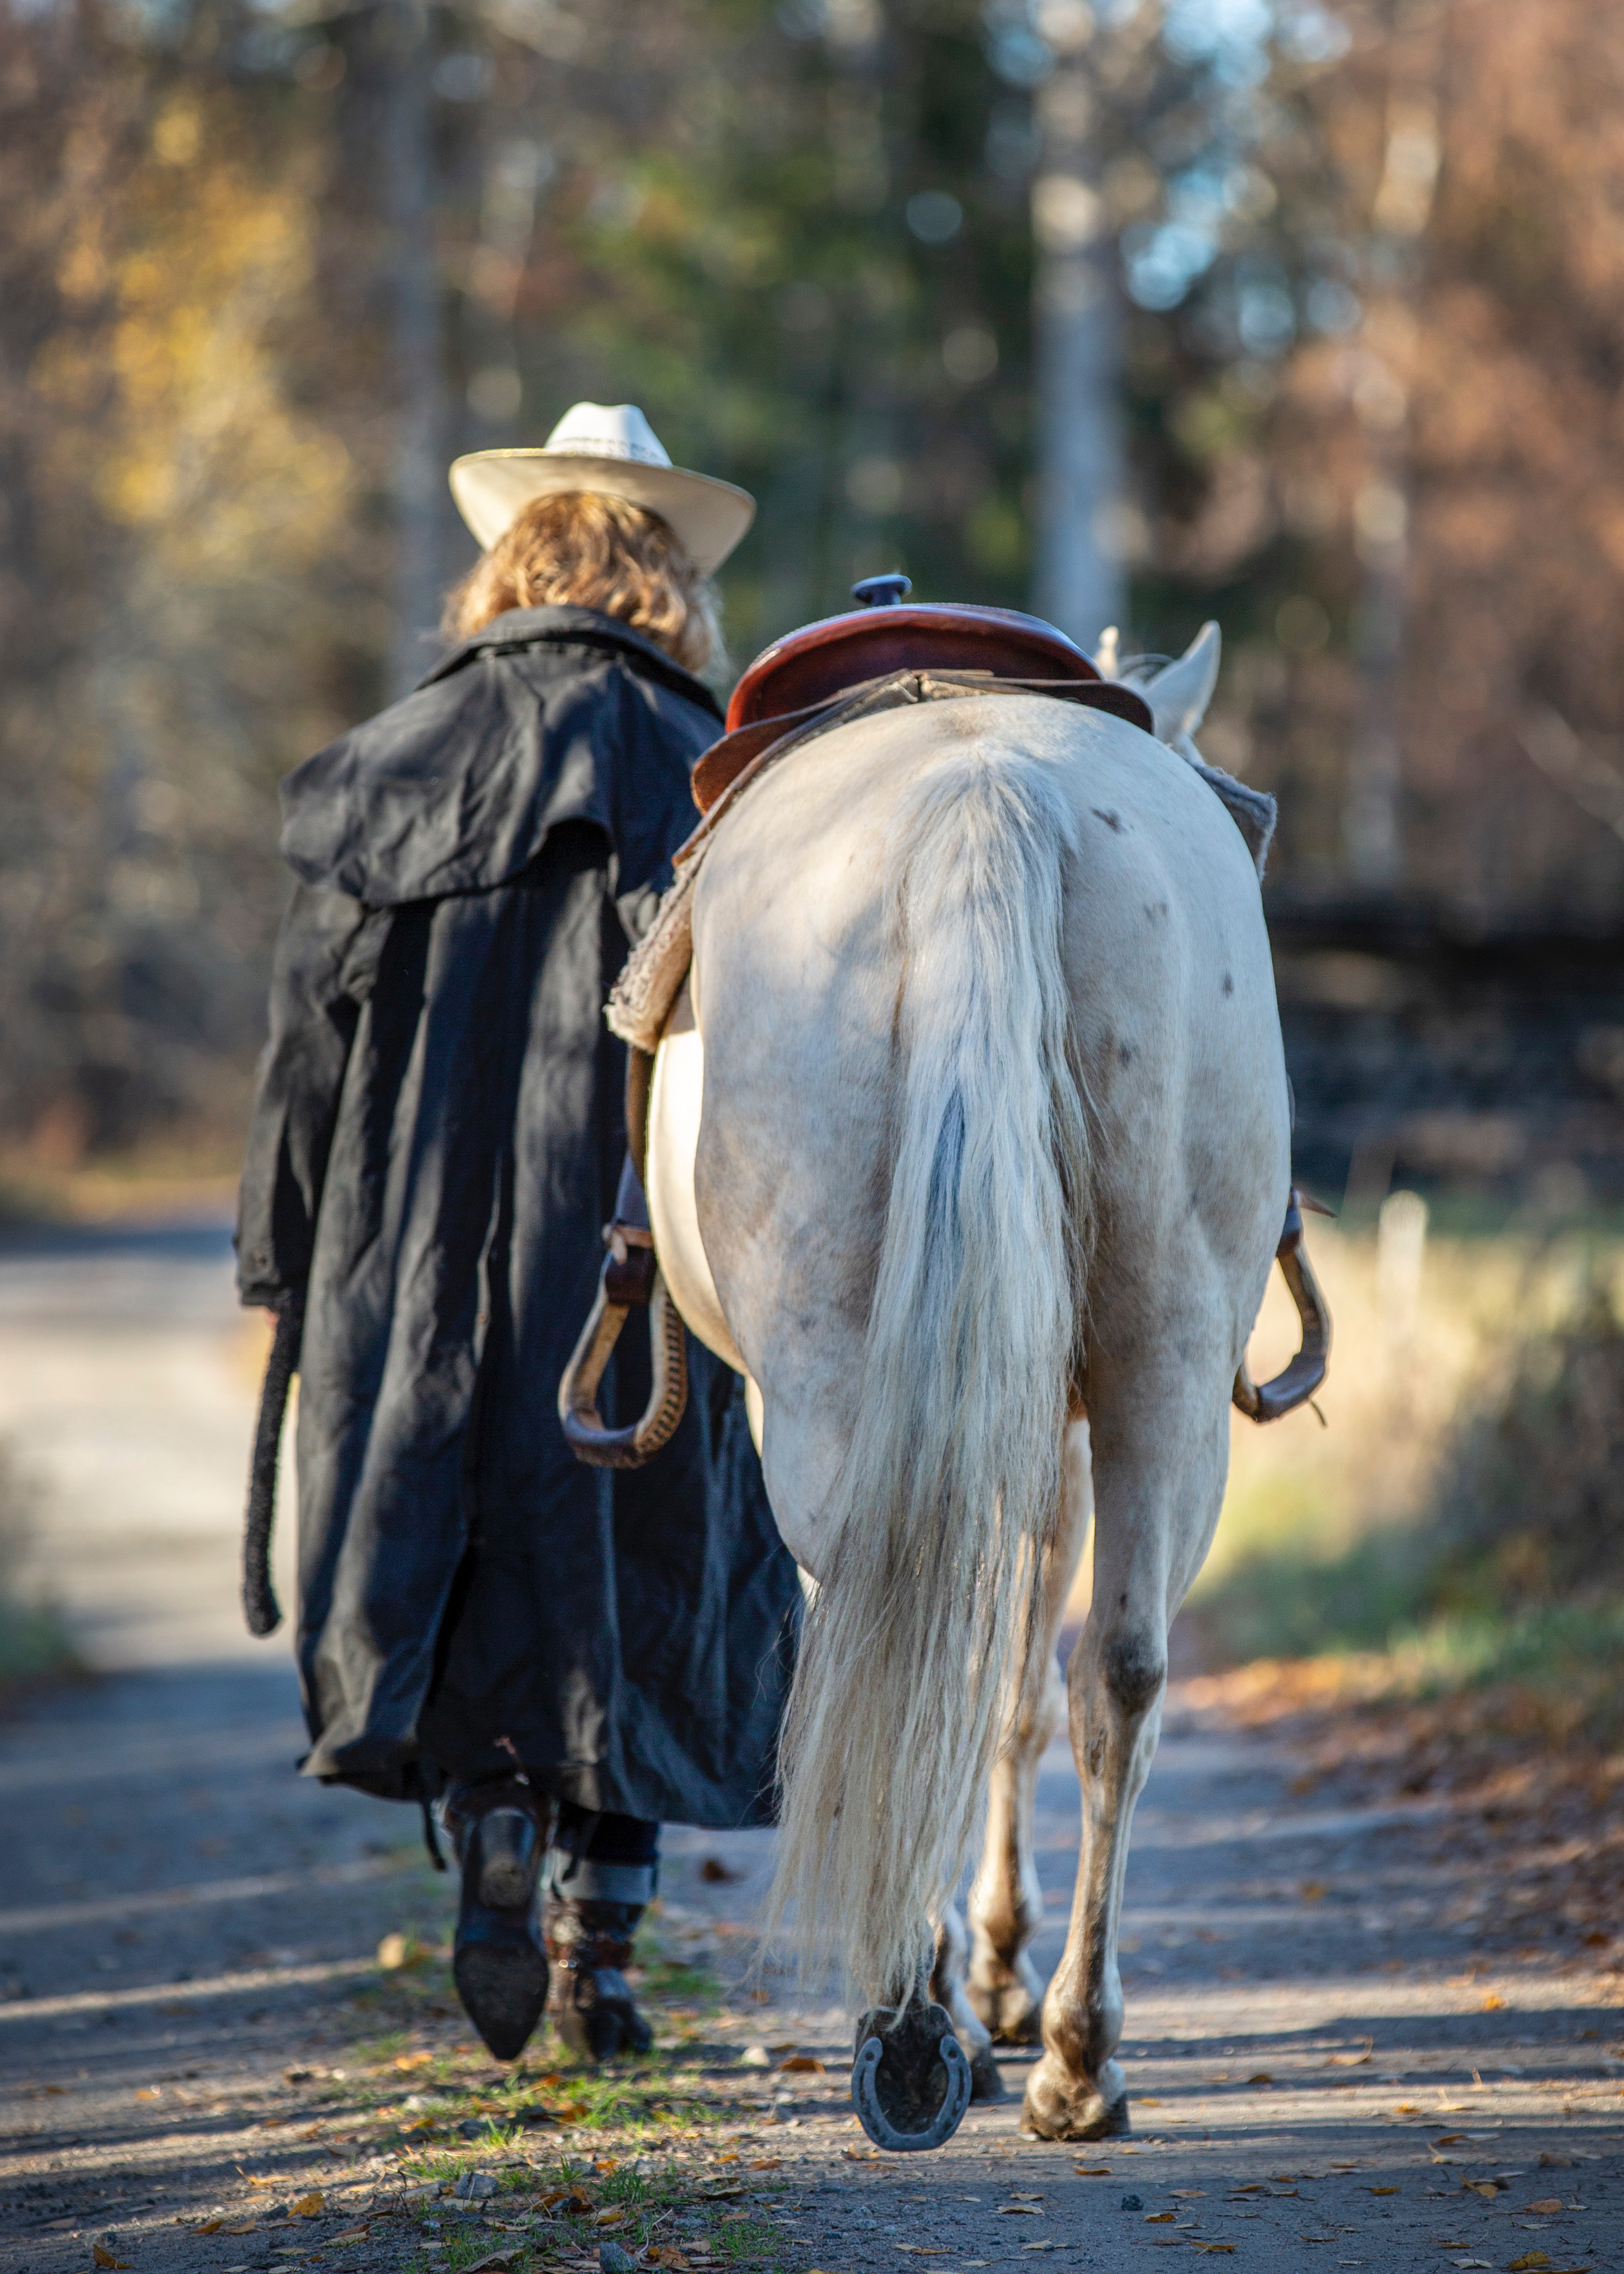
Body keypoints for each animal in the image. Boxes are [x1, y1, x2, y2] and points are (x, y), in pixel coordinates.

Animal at [628, 627, 1282, 2146]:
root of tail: (991, 798)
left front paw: (975, 1981)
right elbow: (1029, 1689)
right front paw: (998, 1981)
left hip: (832, 1387)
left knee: (897, 1639)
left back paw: (931, 2030)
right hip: (1163, 1360)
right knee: (1118, 1669)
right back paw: (1072, 2059)